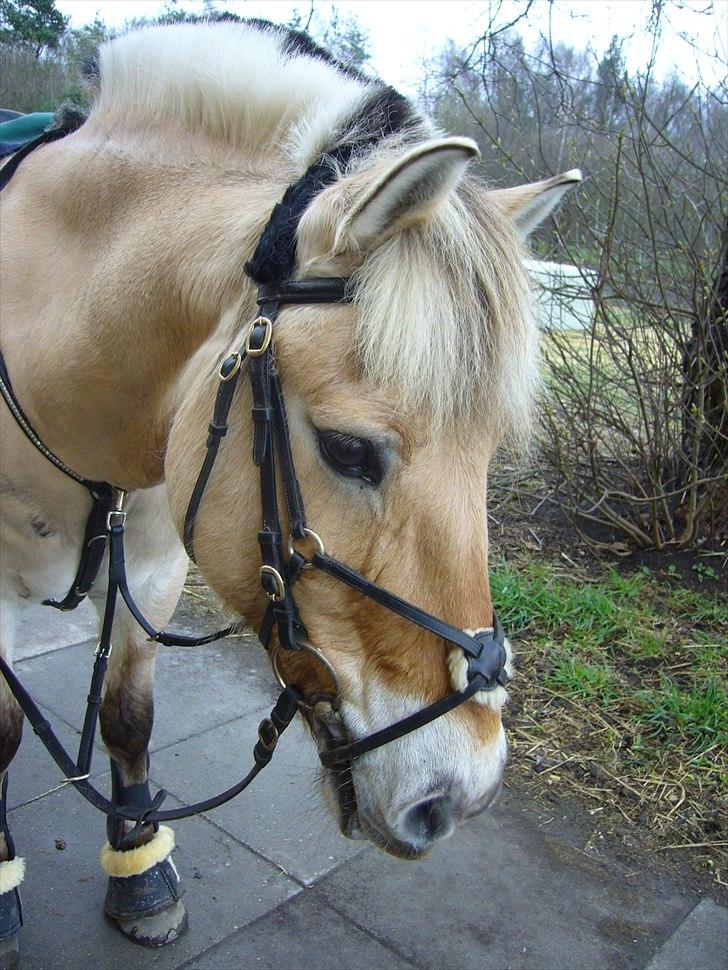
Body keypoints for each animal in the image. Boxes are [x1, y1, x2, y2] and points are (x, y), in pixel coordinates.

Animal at [0, 18, 580, 956]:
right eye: (347, 450)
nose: (459, 793)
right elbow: (4, 731)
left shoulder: (157, 568)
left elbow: (127, 713)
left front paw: (140, 868)